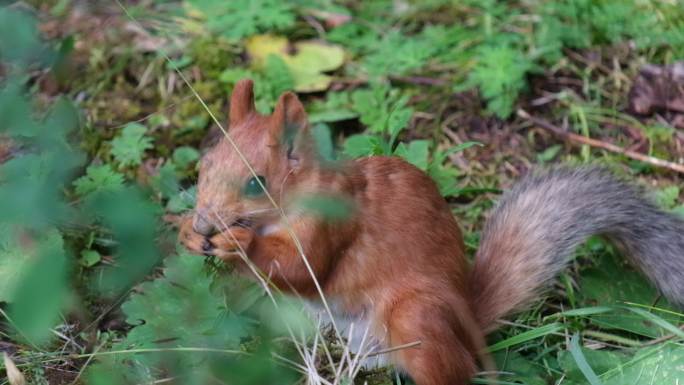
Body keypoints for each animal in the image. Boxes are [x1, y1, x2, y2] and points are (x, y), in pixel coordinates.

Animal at [180, 79, 684, 382]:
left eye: (256, 182)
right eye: (204, 165)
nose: (205, 223)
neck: (295, 200)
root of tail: (468, 322)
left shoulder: (330, 224)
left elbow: (303, 271)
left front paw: (240, 241)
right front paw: (186, 232)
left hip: (417, 315)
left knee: (454, 371)